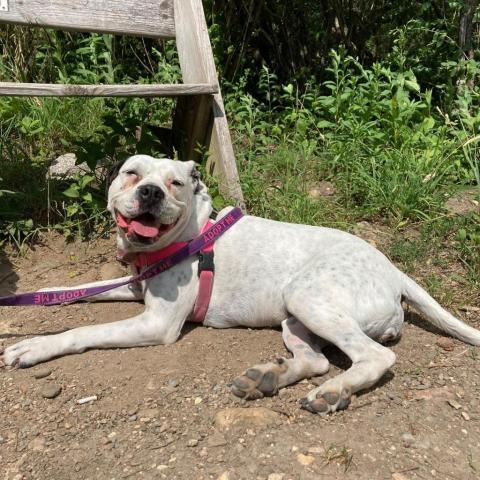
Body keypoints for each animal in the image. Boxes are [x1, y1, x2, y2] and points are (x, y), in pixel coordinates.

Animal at [1, 156, 478, 414]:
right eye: (132, 173)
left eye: (175, 182)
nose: (152, 192)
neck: (191, 233)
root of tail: (395, 271)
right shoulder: (137, 285)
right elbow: (80, 288)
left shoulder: (157, 323)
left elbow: (83, 330)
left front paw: (35, 346)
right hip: (295, 317)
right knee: (317, 360)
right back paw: (266, 378)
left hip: (309, 299)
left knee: (374, 357)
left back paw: (332, 393)